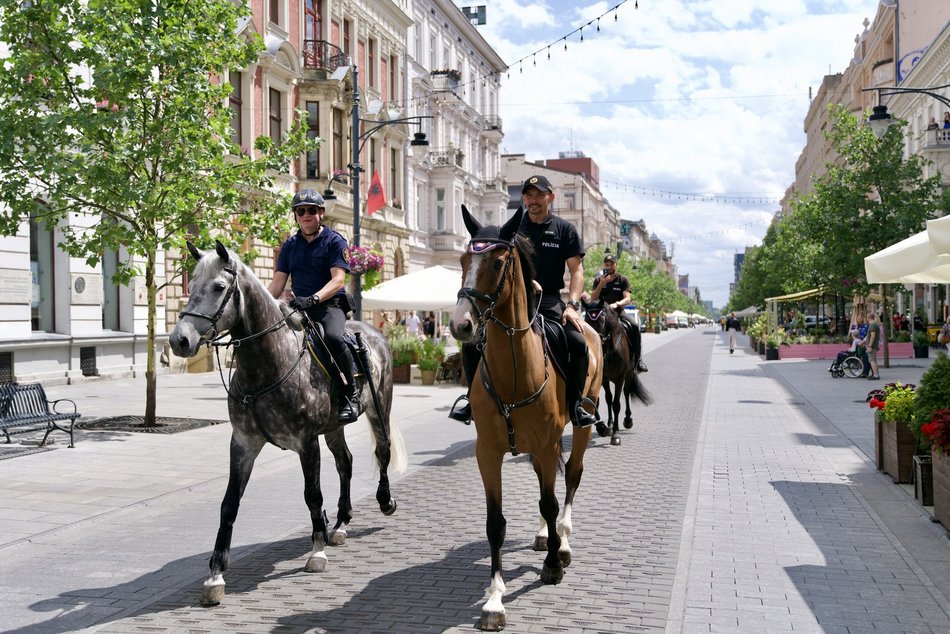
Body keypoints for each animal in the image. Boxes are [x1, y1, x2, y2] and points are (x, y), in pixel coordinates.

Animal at [168, 239, 406, 604]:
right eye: (190, 284)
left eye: (219, 286)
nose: (179, 340)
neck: (266, 366)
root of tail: (372, 332)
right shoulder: (243, 443)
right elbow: (229, 504)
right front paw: (215, 574)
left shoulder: (306, 442)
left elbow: (313, 495)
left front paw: (317, 551)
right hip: (334, 428)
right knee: (346, 462)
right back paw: (340, 524)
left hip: (380, 407)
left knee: (382, 451)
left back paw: (383, 501)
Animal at [448, 206, 604, 628]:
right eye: (463, 261)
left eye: (498, 262)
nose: (460, 325)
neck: (517, 372)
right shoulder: (488, 453)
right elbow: (496, 523)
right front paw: (494, 599)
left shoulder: (550, 444)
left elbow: (550, 502)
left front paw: (553, 564)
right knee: (542, 483)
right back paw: (545, 536)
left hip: (581, 425)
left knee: (570, 478)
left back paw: (562, 539)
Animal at [584, 298, 652, 442]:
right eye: (586, 320)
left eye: (602, 320)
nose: (592, 342)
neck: (606, 350)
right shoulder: (602, 378)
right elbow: (601, 402)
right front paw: (604, 428)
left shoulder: (620, 377)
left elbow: (616, 404)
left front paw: (615, 434)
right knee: (609, 398)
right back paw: (609, 423)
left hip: (629, 374)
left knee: (626, 393)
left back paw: (627, 420)